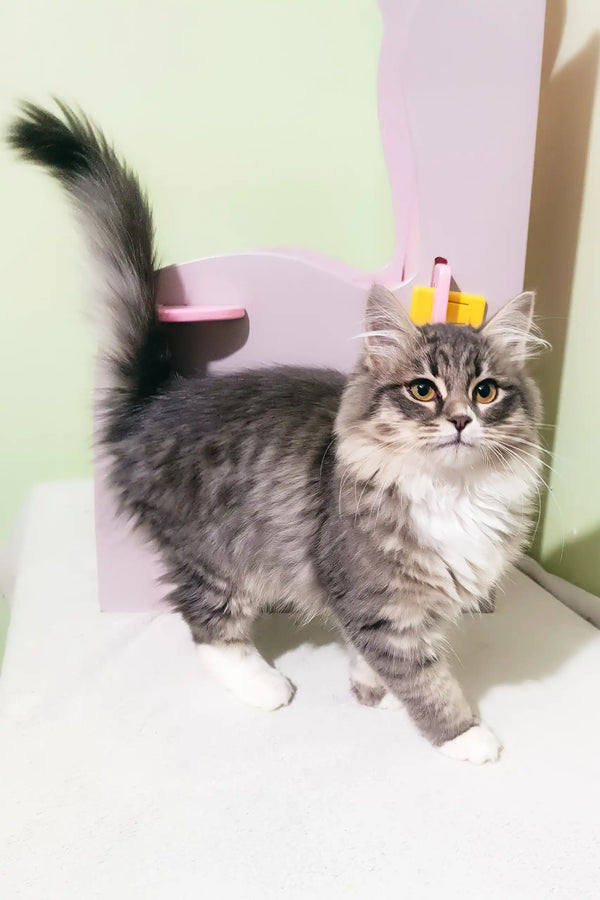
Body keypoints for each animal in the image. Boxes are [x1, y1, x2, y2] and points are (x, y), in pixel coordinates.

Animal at [9, 105, 544, 768]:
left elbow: (378, 657)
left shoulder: (402, 598)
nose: (462, 420)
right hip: (217, 553)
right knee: (206, 626)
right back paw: (264, 686)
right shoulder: (380, 599)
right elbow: (425, 676)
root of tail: (156, 400)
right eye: (423, 391)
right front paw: (464, 734)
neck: (452, 492)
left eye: (486, 392)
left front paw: (372, 690)